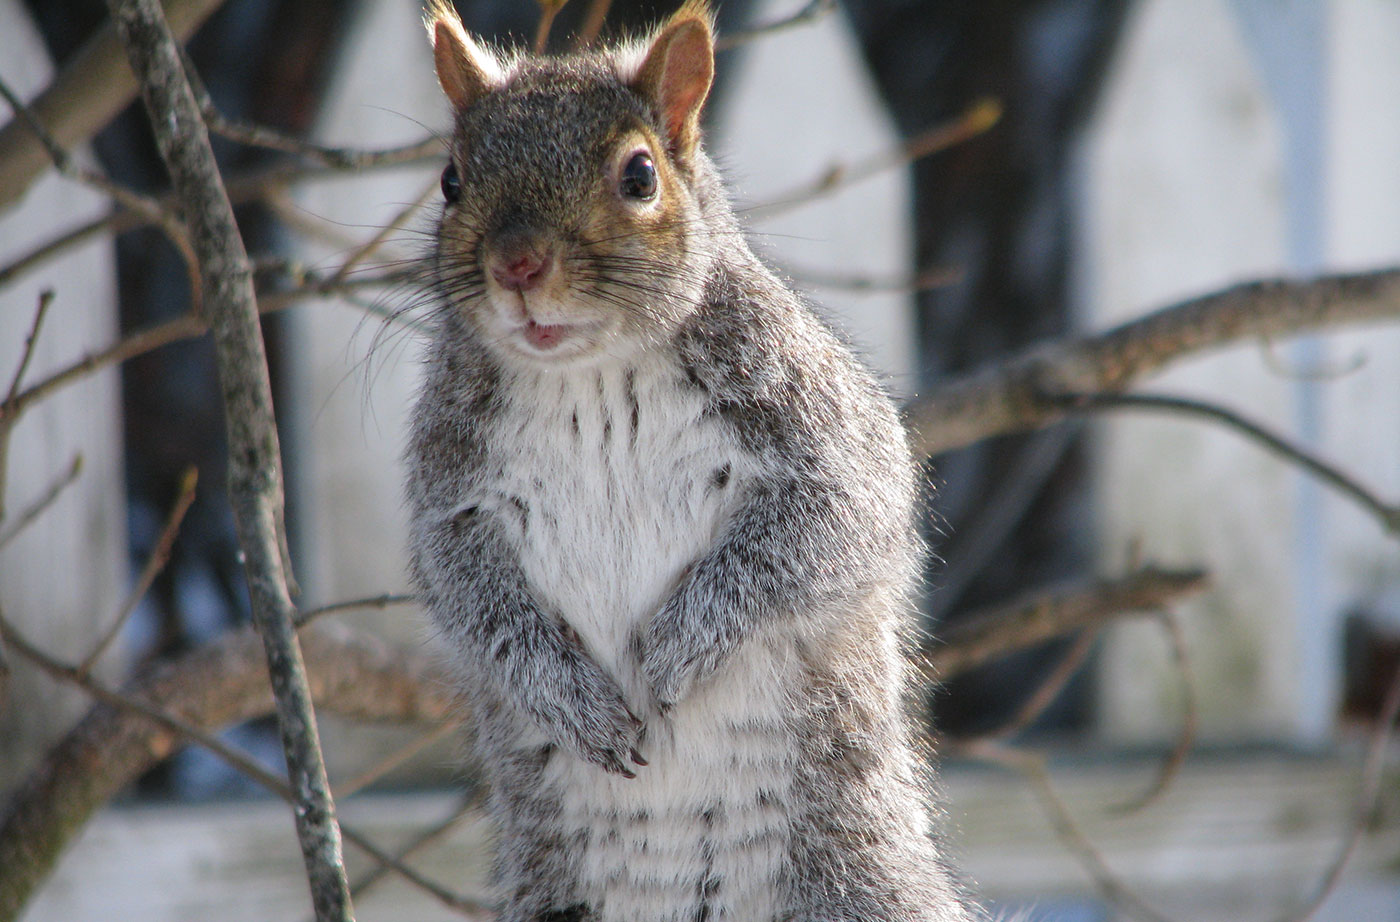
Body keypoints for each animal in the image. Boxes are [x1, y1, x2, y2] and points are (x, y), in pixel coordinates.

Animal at [403, 3, 974, 917]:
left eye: (640, 176)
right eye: (452, 180)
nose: (516, 266)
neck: (590, 377)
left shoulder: (821, 439)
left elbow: (818, 533)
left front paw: (675, 652)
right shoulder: (451, 496)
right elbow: (469, 597)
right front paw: (574, 702)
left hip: (855, 881)